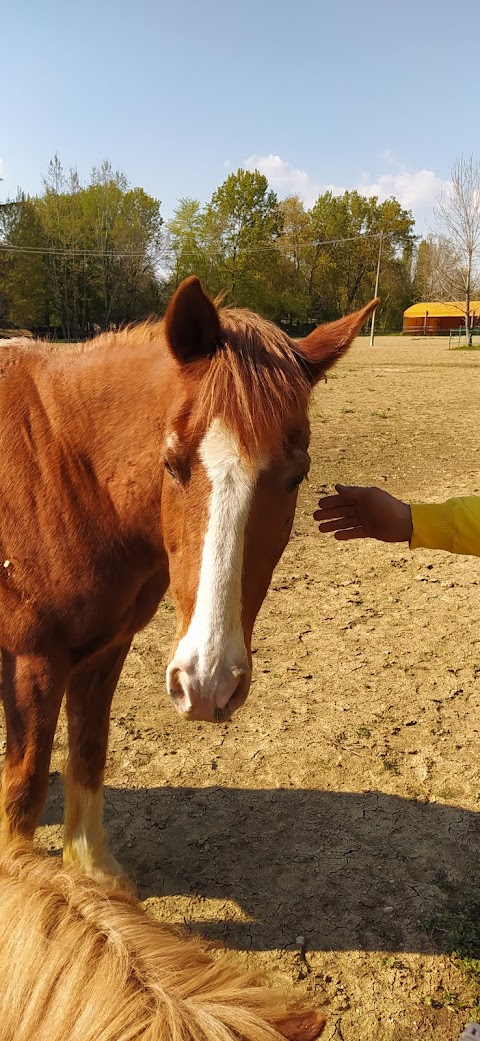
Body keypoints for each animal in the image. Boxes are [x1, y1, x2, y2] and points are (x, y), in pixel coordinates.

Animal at [0, 276, 374, 878]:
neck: (56, 467)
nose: (207, 684)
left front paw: (92, 872)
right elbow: (24, 793)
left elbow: (89, 751)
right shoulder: (29, 662)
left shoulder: (105, 650)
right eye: (171, 464)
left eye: (297, 476)